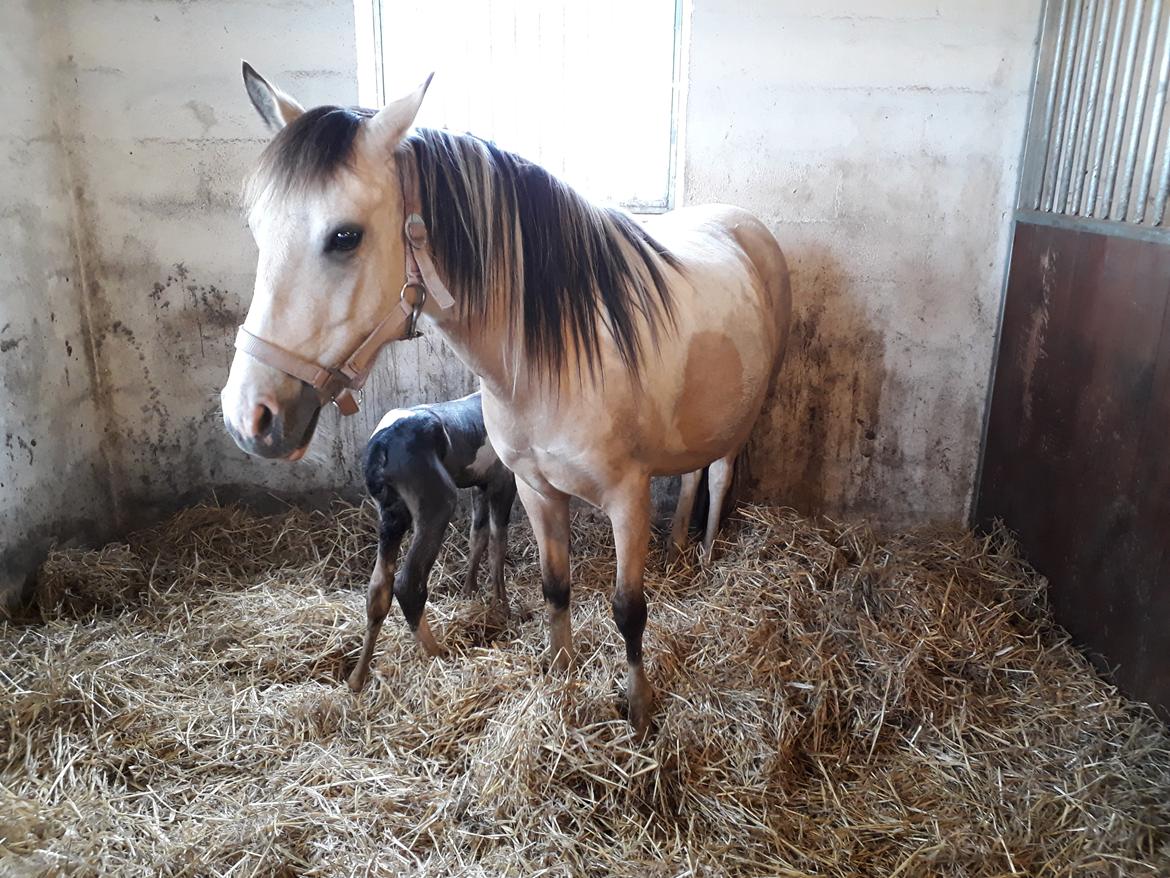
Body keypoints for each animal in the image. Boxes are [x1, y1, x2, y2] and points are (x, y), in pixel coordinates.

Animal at [343, 393, 514, 693]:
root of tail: (381, 446)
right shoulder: (502, 481)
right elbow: (497, 542)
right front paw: (502, 606)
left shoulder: (480, 484)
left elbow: (477, 535)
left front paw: (469, 591)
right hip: (437, 504)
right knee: (408, 584)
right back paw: (438, 653)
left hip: (391, 516)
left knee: (378, 589)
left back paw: (357, 678)